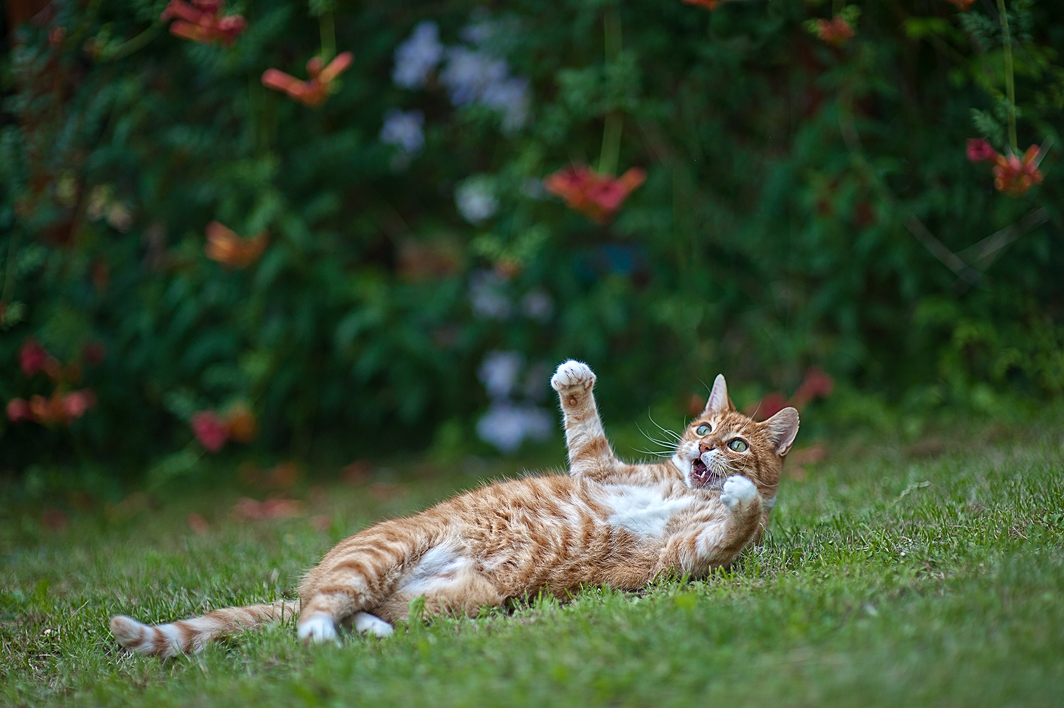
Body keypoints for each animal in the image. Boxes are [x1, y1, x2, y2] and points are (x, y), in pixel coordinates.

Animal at [112, 361, 800, 655]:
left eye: (736, 443)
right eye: (703, 426)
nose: (702, 448)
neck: (685, 488)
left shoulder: (688, 556)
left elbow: (734, 523)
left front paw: (741, 497)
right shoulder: (601, 475)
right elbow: (586, 431)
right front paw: (574, 380)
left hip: (448, 600)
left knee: (334, 614)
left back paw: (358, 635)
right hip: (378, 556)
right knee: (319, 607)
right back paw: (332, 633)